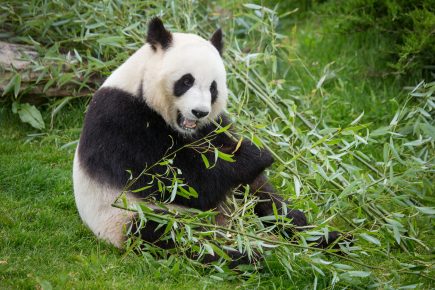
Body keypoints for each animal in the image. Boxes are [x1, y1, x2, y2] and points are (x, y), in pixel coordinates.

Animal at [72, 17, 344, 266]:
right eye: (186, 81)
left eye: (213, 88)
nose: (199, 112)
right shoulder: (123, 124)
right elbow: (183, 183)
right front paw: (258, 153)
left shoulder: (214, 127)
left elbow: (252, 184)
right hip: (125, 216)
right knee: (167, 234)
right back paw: (245, 256)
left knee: (263, 208)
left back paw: (327, 239)